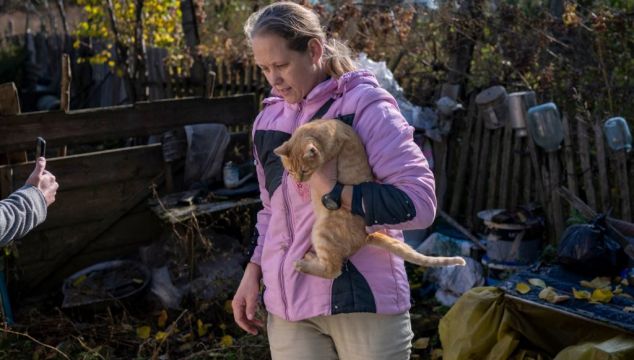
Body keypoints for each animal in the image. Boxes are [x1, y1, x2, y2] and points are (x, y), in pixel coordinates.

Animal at [272, 119, 464, 280]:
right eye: (291, 170)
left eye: (304, 171)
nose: (298, 180)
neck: (323, 128)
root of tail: (366, 236)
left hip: (322, 232)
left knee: (333, 270)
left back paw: (303, 264)